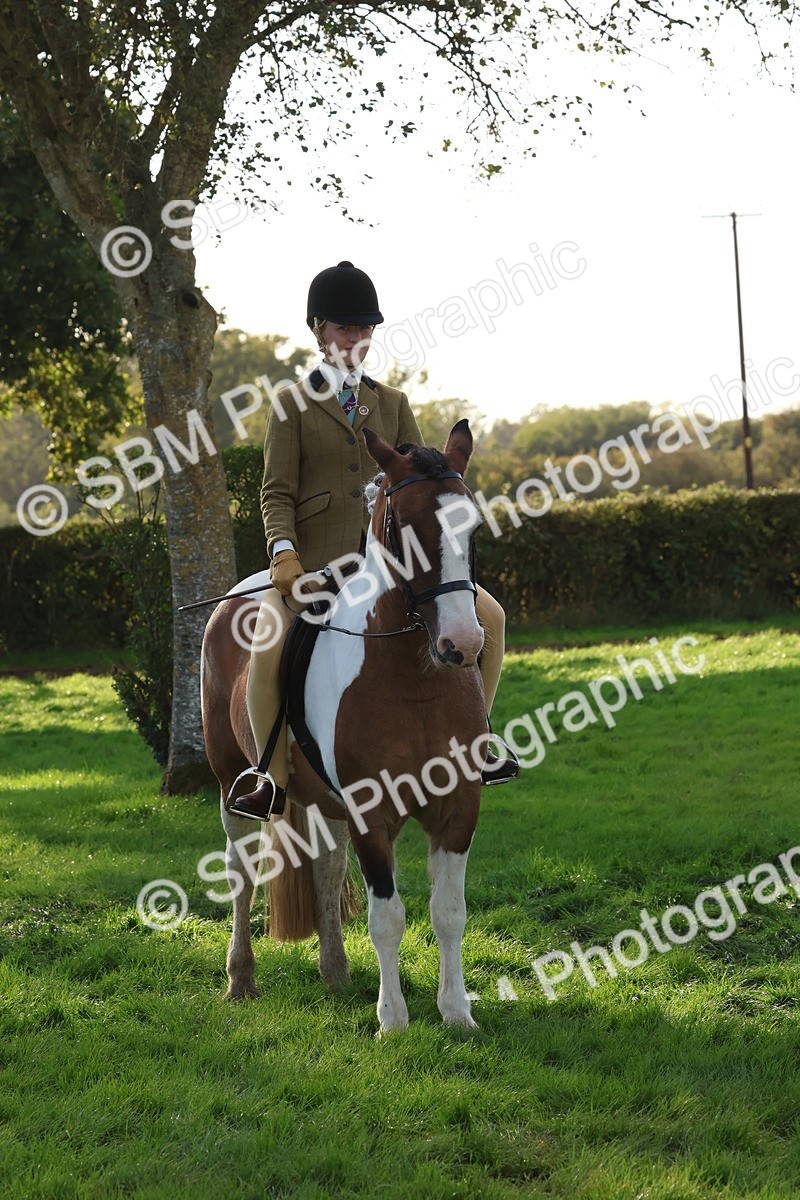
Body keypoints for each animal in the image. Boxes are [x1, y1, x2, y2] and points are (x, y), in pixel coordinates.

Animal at [201, 420, 488, 1033]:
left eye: (472, 525)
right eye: (405, 527)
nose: (462, 644)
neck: (413, 678)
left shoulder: (458, 806)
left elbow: (449, 912)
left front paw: (456, 1012)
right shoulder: (370, 808)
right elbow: (388, 917)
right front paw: (393, 1020)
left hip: (321, 798)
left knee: (327, 868)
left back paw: (334, 971)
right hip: (231, 780)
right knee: (242, 872)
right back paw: (240, 978)